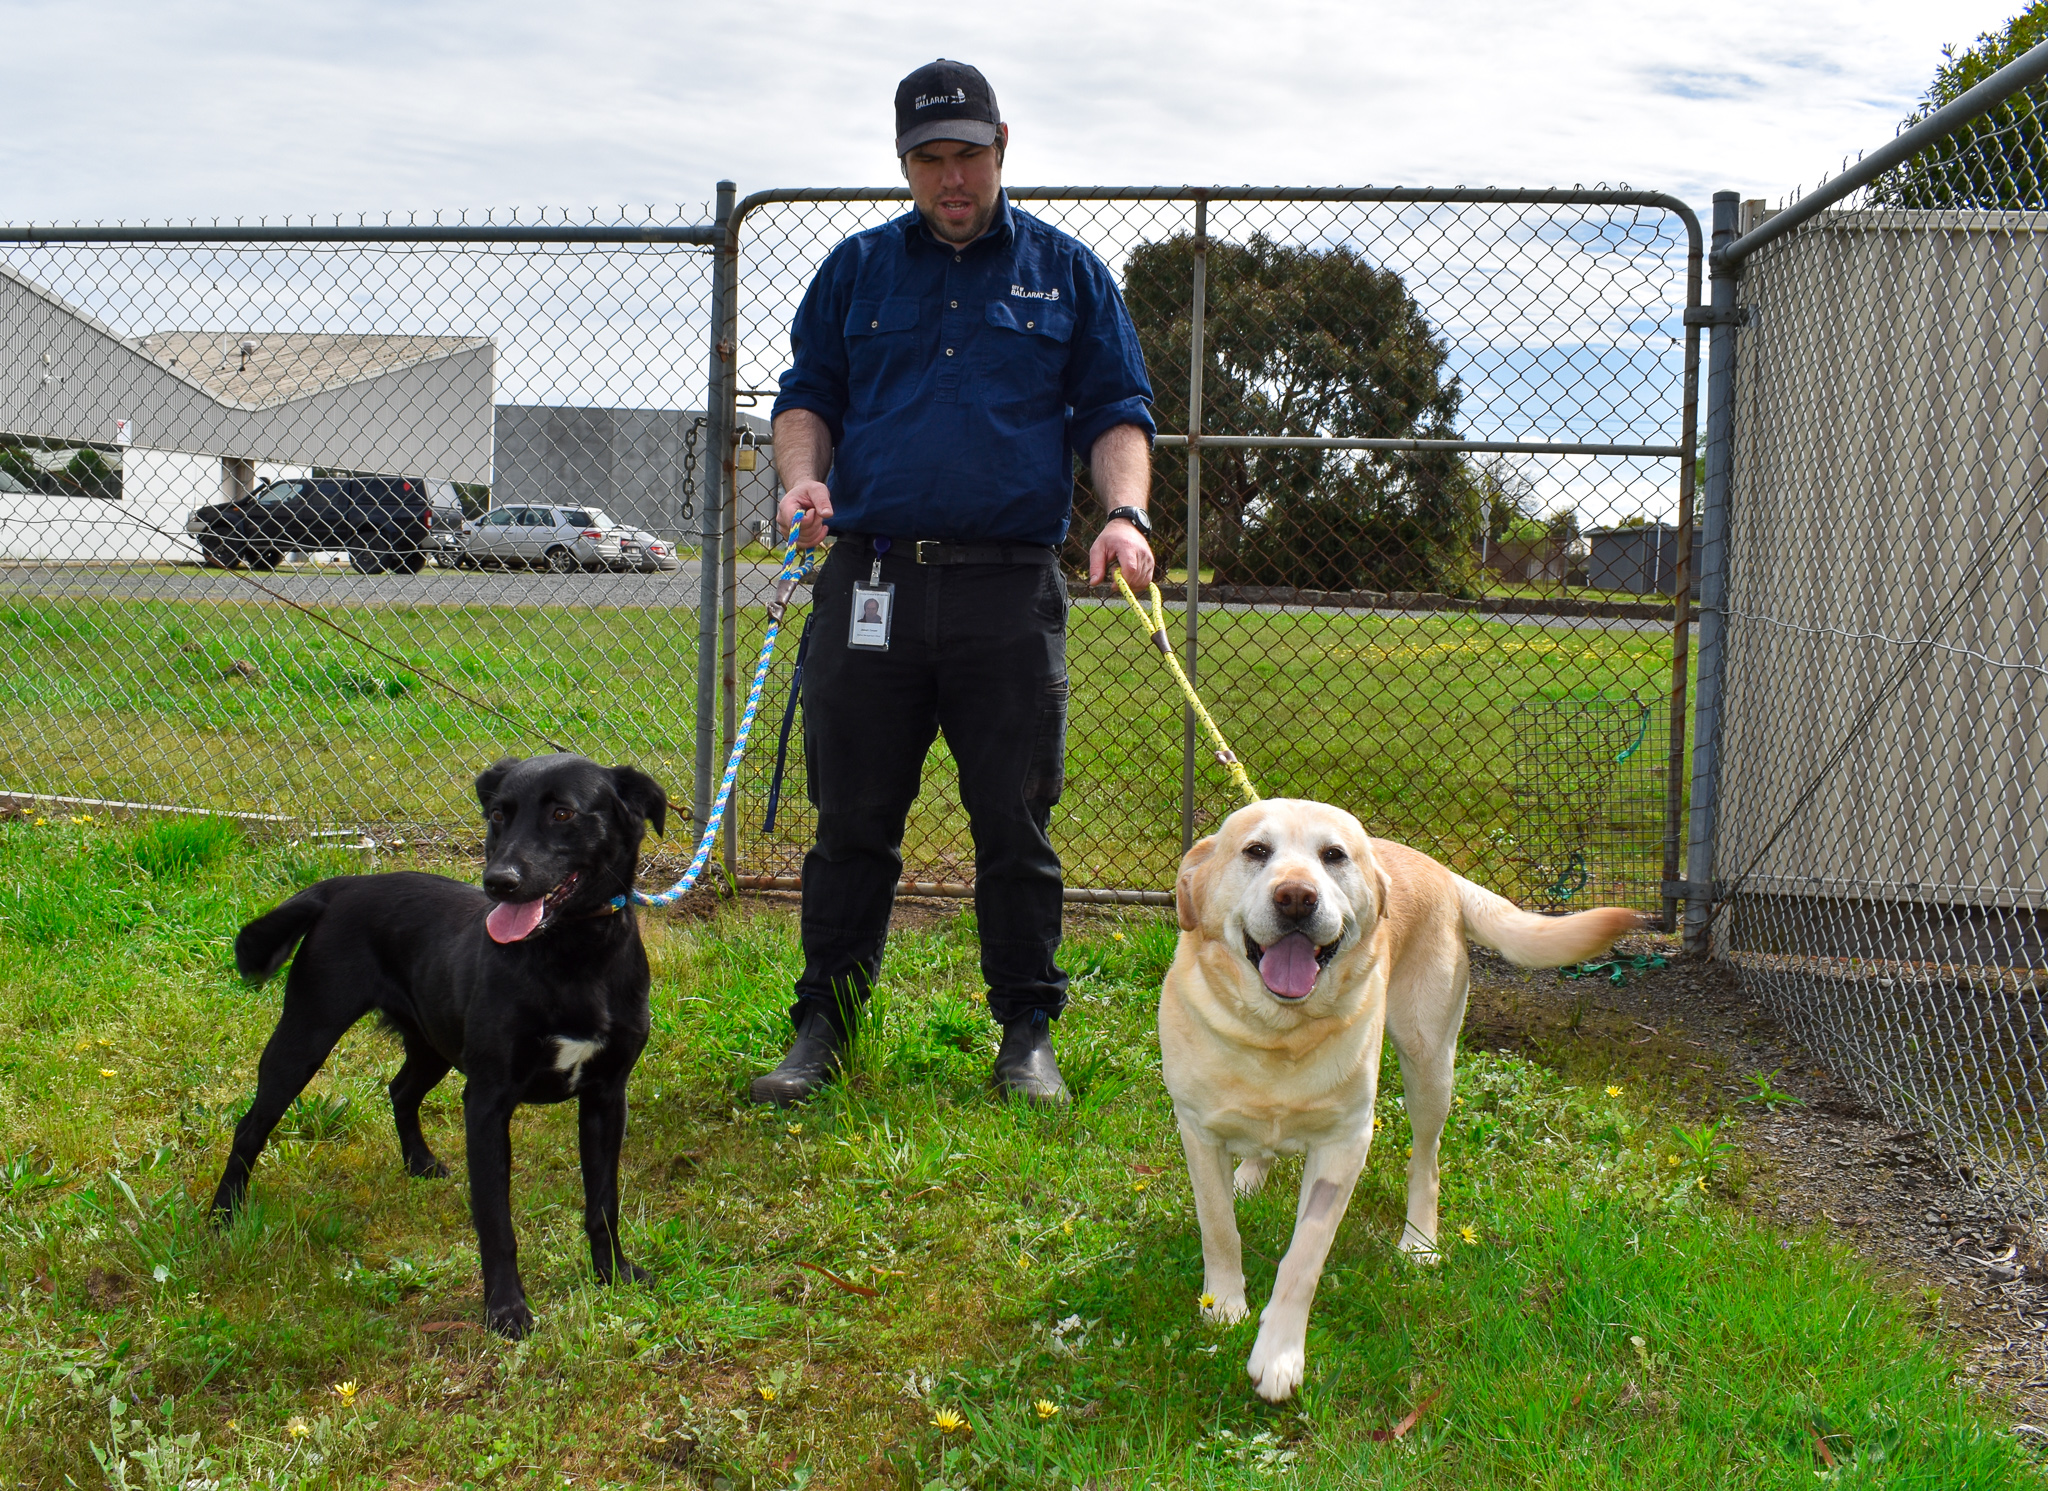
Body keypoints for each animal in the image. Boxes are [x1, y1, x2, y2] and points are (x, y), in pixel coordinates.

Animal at [211, 749, 667, 1335]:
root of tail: (342, 886)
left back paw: (419, 1163)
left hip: (432, 1044)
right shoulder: (488, 1100)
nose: (498, 882)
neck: (573, 954)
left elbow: (603, 1203)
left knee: (399, 1089)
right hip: (305, 1036)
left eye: (563, 814)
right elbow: (496, 1221)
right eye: (497, 815)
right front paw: (506, 1309)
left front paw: (613, 1274)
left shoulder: (607, 1096)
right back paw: (224, 1215)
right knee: (250, 1125)